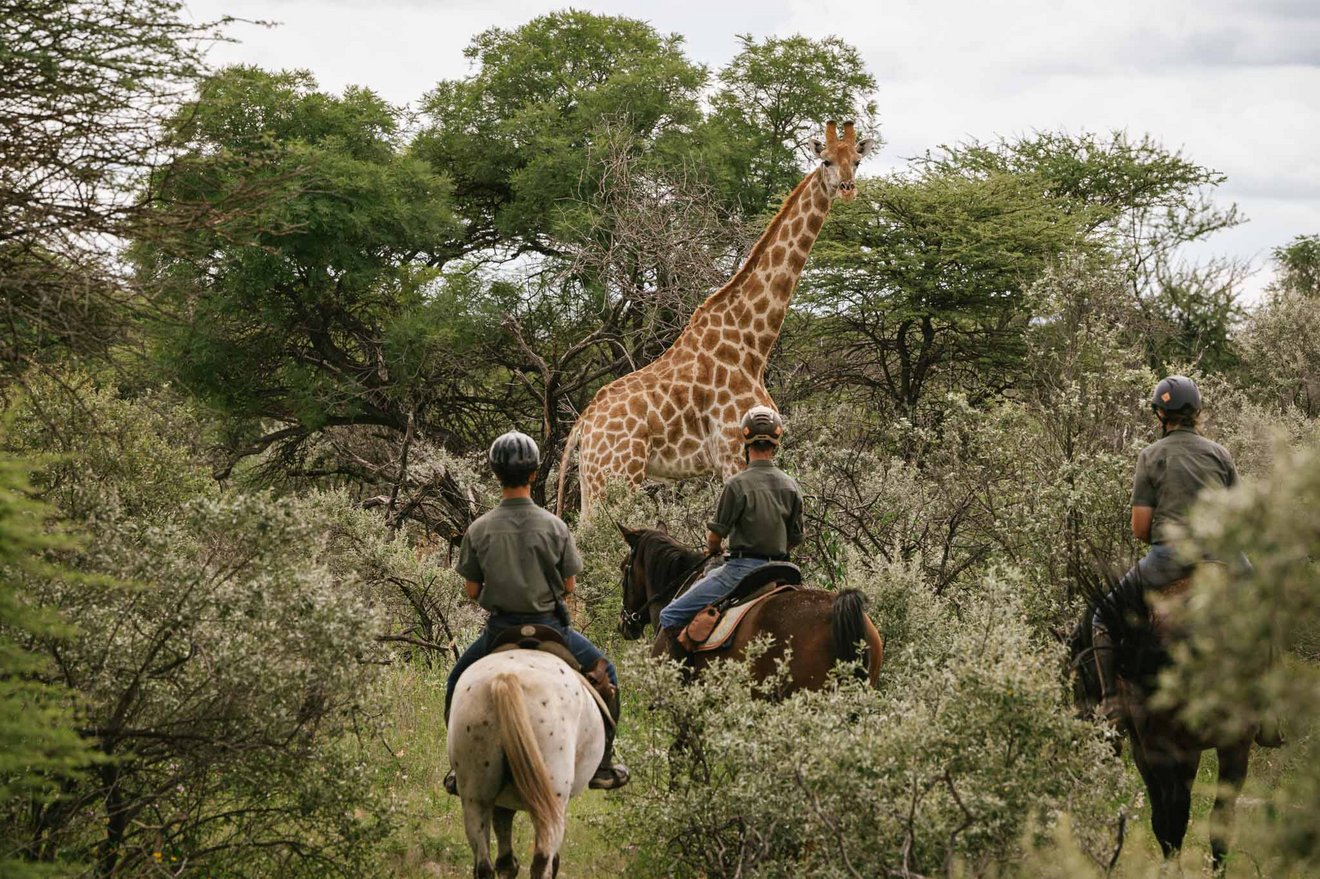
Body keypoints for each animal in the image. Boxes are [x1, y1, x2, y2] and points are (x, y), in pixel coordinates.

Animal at [446, 646, 604, 871]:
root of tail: (505, 678)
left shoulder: (501, 801)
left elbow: (505, 859)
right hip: (553, 797)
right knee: (543, 858)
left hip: (475, 796)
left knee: (484, 863)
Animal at [557, 118, 876, 514]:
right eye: (826, 161)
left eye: (857, 162)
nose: (847, 189)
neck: (752, 343)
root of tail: (583, 425)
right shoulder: (732, 450)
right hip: (617, 475)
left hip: (593, 480)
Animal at [1066, 567, 1251, 871]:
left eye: (1080, 680)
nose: (1084, 722)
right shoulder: (1190, 750)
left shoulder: (1147, 750)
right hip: (1229, 744)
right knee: (1216, 819)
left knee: (1174, 818)